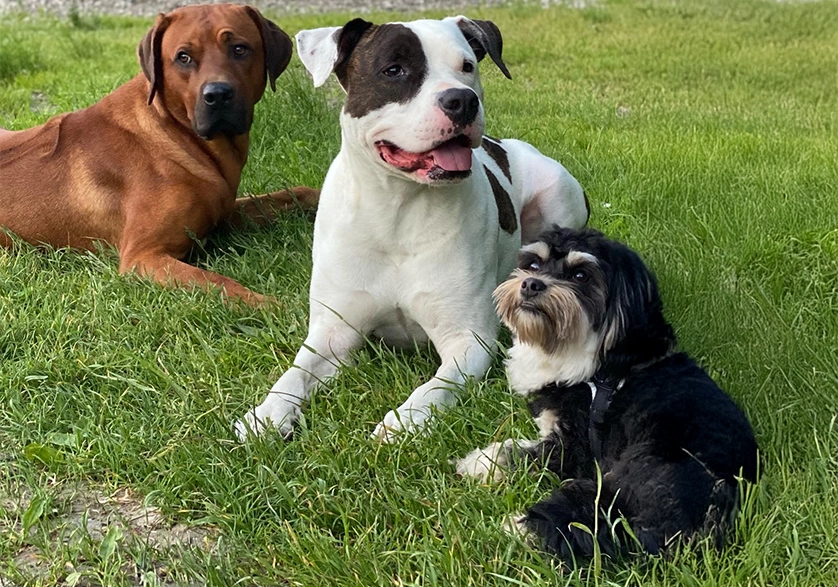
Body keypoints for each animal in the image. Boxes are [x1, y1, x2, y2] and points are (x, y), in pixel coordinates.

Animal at [0, 4, 318, 305]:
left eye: (239, 49)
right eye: (184, 57)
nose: (217, 95)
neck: (177, 131)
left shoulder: (224, 213)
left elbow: (296, 193)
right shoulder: (143, 257)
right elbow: (220, 284)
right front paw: (278, 308)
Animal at [235, 16, 589, 440]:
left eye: (467, 66)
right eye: (394, 70)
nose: (462, 100)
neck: (398, 211)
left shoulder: (468, 340)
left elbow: (435, 388)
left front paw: (403, 421)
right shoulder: (333, 333)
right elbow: (293, 375)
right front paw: (267, 414)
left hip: (557, 191)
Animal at [455, 227, 759, 561]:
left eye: (580, 276)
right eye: (534, 265)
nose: (531, 284)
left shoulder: (576, 445)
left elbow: (524, 452)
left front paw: (480, 462)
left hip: (617, 481)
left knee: (583, 519)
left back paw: (518, 528)